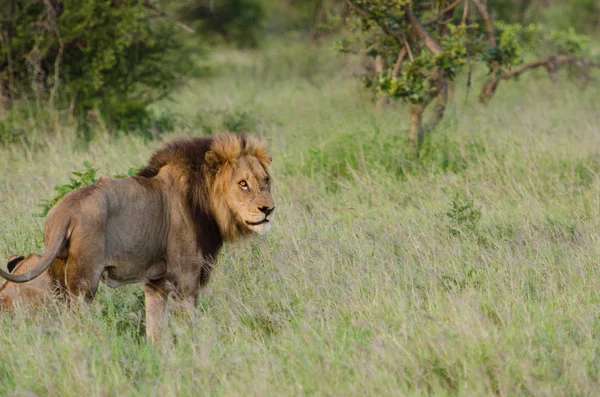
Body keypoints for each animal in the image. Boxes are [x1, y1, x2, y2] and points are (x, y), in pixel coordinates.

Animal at [0, 132, 274, 340]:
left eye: (266, 180)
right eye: (242, 184)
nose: (268, 209)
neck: (205, 202)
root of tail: (63, 211)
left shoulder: (156, 282)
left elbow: (155, 327)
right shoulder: (186, 278)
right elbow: (186, 325)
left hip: (59, 278)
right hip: (84, 281)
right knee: (75, 320)